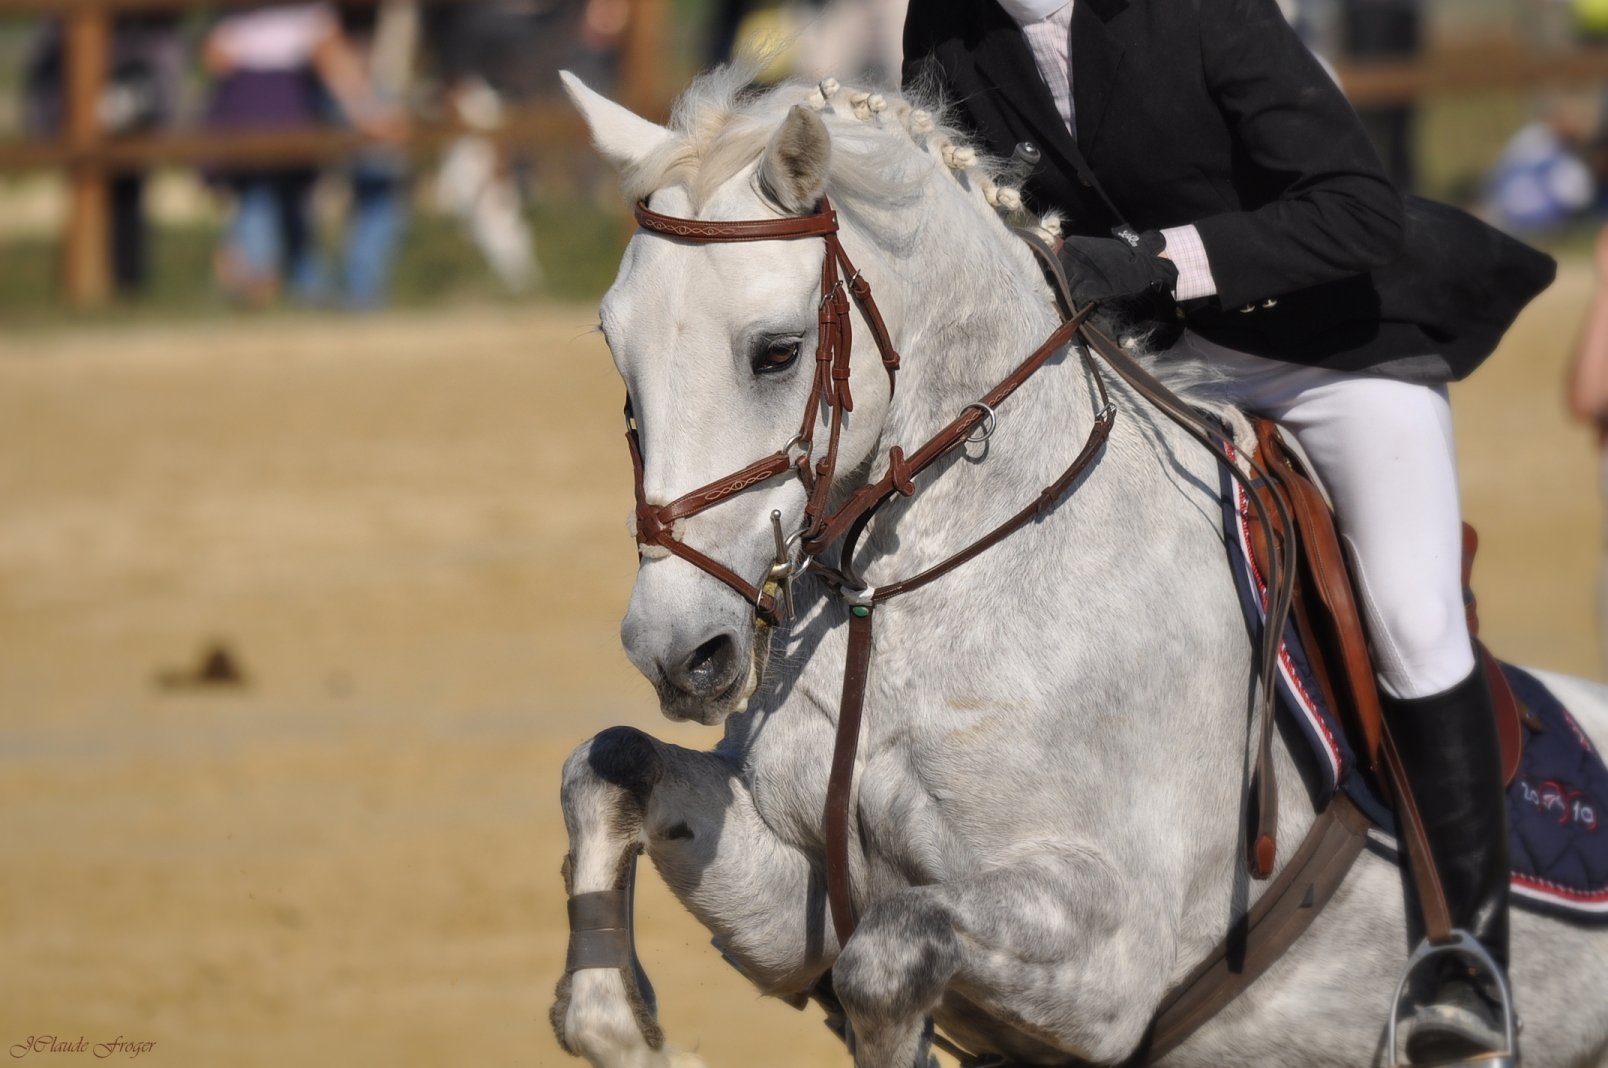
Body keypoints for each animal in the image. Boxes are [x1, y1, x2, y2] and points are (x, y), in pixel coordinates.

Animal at [549, 70, 1608, 1061]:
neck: (900, 599)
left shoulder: (1110, 960)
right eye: (614, 348)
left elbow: (892, 953)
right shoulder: (793, 905)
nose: (677, 653)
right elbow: (609, 765)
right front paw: (621, 1027)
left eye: (776, 352)